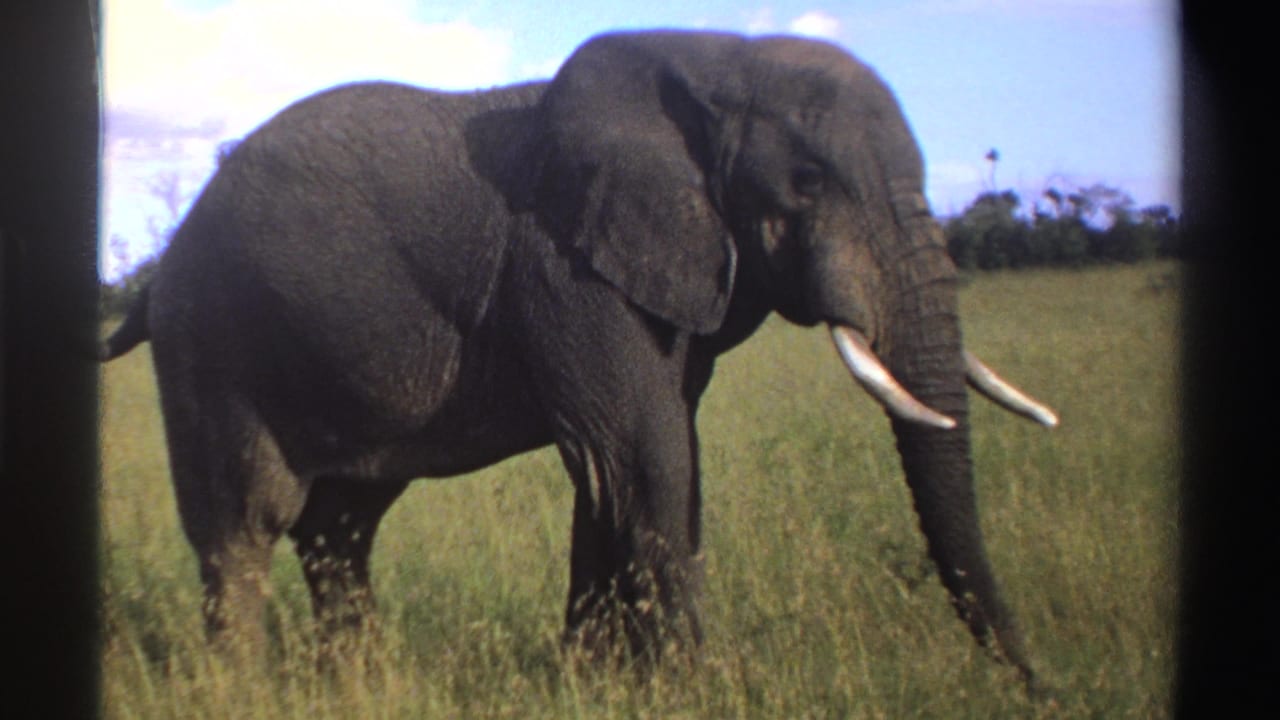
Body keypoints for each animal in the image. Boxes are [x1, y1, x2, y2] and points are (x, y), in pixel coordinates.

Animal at [100, 29, 1058, 686]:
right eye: (810, 183)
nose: (1037, 685)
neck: (712, 58)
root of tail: (159, 271)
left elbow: (632, 465)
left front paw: (596, 684)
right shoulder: (562, 265)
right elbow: (642, 459)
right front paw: (697, 690)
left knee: (341, 529)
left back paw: (360, 683)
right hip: (213, 343)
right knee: (246, 522)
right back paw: (242, 688)